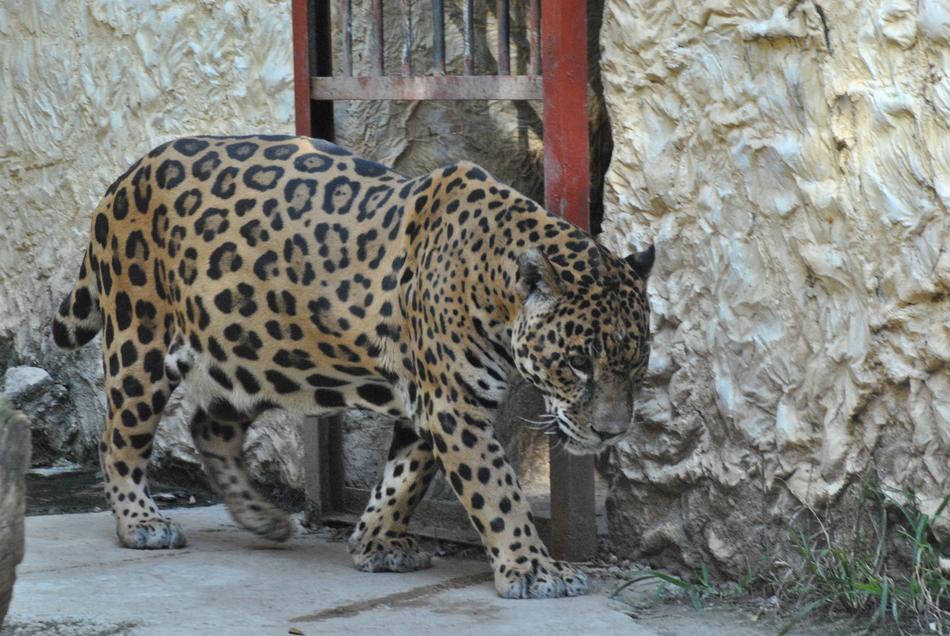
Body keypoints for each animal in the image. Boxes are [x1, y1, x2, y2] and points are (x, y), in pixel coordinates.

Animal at [52, 135, 654, 599]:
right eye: (577, 362)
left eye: (638, 365)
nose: (611, 432)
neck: (492, 284)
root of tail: (125, 176)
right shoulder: (454, 404)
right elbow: (497, 491)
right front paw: (533, 569)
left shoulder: (428, 403)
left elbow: (405, 478)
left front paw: (375, 542)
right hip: (141, 342)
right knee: (120, 439)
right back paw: (141, 522)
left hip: (255, 348)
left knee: (209, 427)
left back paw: (263, 518)